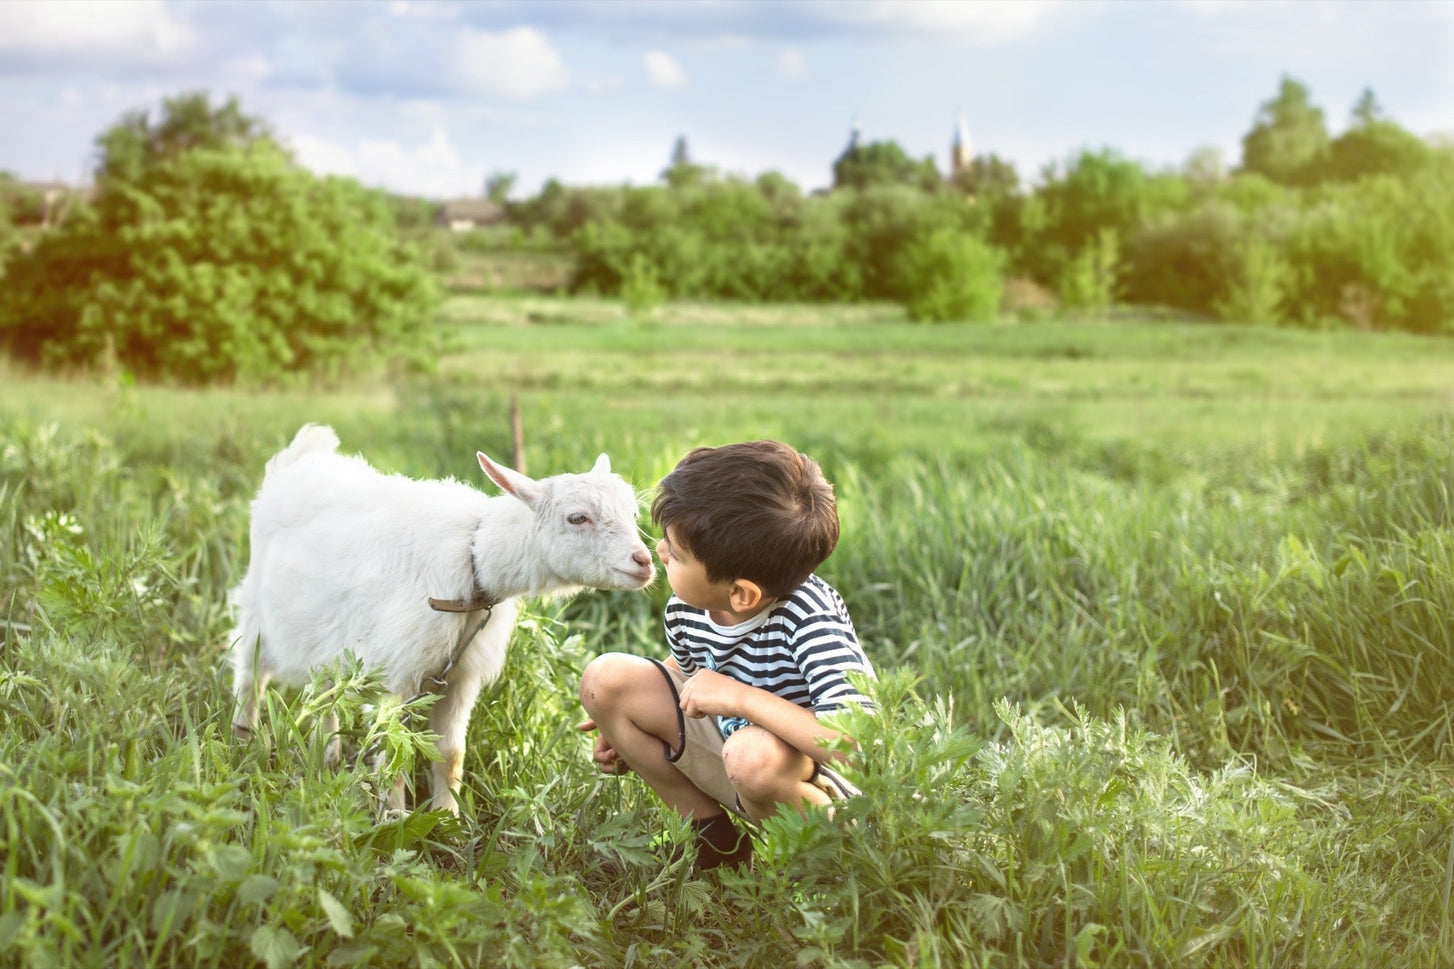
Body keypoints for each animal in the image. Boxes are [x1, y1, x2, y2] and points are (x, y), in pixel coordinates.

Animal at [228, 424, 654, 814]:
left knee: (327, 695)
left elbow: (450, 753)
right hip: (257, 613)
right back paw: (243, 740)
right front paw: (395, 819)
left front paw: (447, 818)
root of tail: (298, 459)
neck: (473, 561)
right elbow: (393, 752)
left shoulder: (460, 676)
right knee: (250, 677)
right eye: (576, 518)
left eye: (633, 513)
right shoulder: (398, 671)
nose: (644, 562)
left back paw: (327, 756)